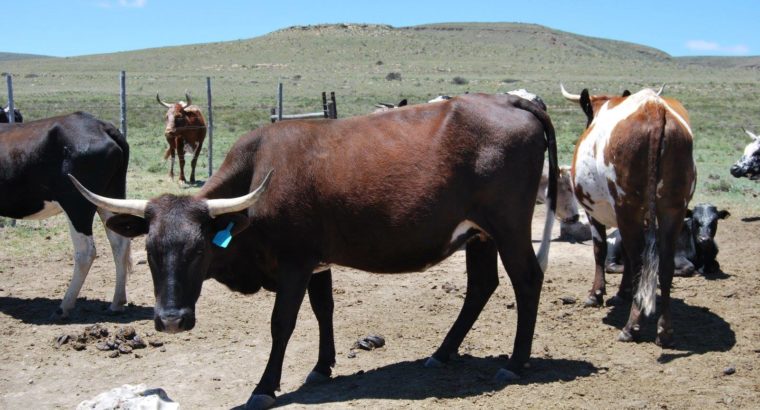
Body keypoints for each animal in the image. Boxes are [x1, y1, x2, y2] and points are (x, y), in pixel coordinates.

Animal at [0, 112, 132, 318]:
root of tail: (101, 125)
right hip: (110, 196)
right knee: (120, 243)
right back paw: (116, 303)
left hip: (77, 204)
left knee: (86, 252)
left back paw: (64, 306)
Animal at [70, 93, 559, 409]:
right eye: (152, 251)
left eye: (199, 250)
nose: (171, 320)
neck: (259, 177)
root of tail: (511, 101)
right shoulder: (318, 263)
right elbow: (324, 310)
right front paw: (323, 367)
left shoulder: (295, 264)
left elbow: (282, 324)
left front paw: (264, 387)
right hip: (479, 235)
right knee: (482, 286)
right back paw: (441, 353)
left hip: (508, 228)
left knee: (526, 280)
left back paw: (515, 363)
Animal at [561, 84, 696, 347]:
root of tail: (654, 108)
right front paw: (622, 293)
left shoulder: (596, 213)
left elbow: (600, 250)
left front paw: (596, 294)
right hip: (672, 210)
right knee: (664, 263)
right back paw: (664, 330)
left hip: (628, 208)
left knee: (641, 262)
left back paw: (632, 326)